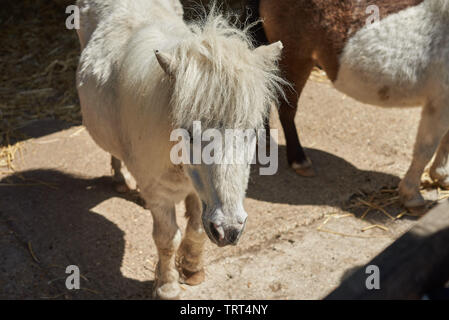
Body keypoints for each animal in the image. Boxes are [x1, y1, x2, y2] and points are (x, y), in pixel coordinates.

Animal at [75, 0, 282, 300]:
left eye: (252, 131)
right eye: (189, 133)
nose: (230, 231)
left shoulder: (200, 194)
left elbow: (196, 227)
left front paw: (192, 269)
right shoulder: (159, 194)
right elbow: (166, 238)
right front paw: (168, 286)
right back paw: (121, 178)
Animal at [247, 0, 448, 211]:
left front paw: (441, 176)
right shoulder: (439, 103)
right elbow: (426, 149)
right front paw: (412, 196)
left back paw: (264, 140)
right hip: (296, 59)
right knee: (286, 109)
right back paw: (299, 161)